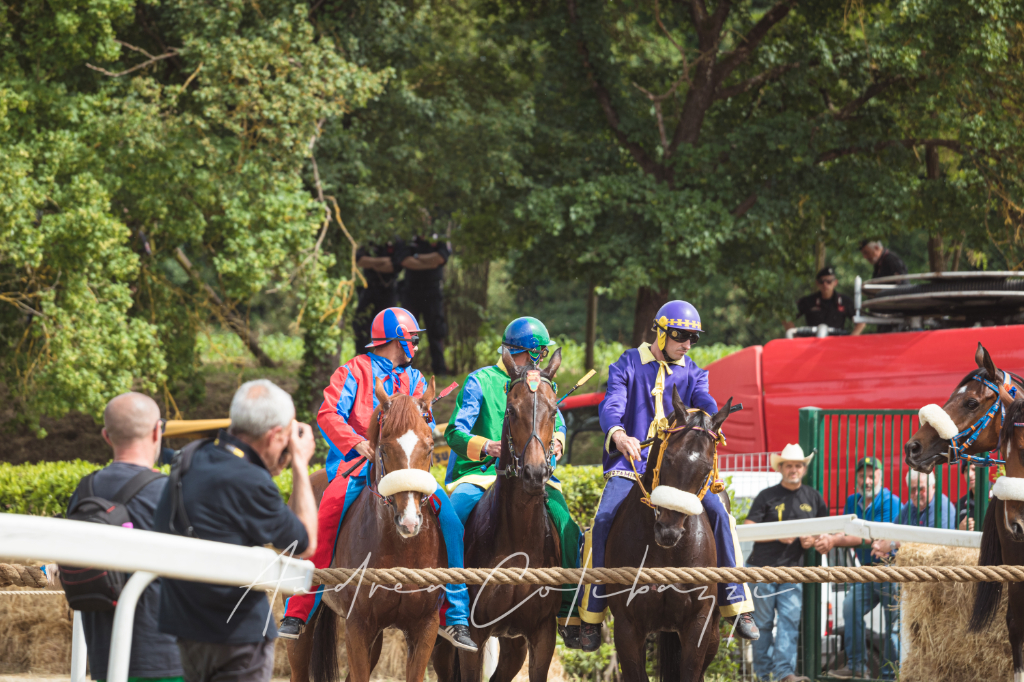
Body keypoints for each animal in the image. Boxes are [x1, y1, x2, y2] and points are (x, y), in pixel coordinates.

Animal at [307, 374, 444, 679]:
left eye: (430, 447)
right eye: (384, 448)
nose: (409, 520)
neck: (402, 552)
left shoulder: (424, 627)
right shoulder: (357, 626)